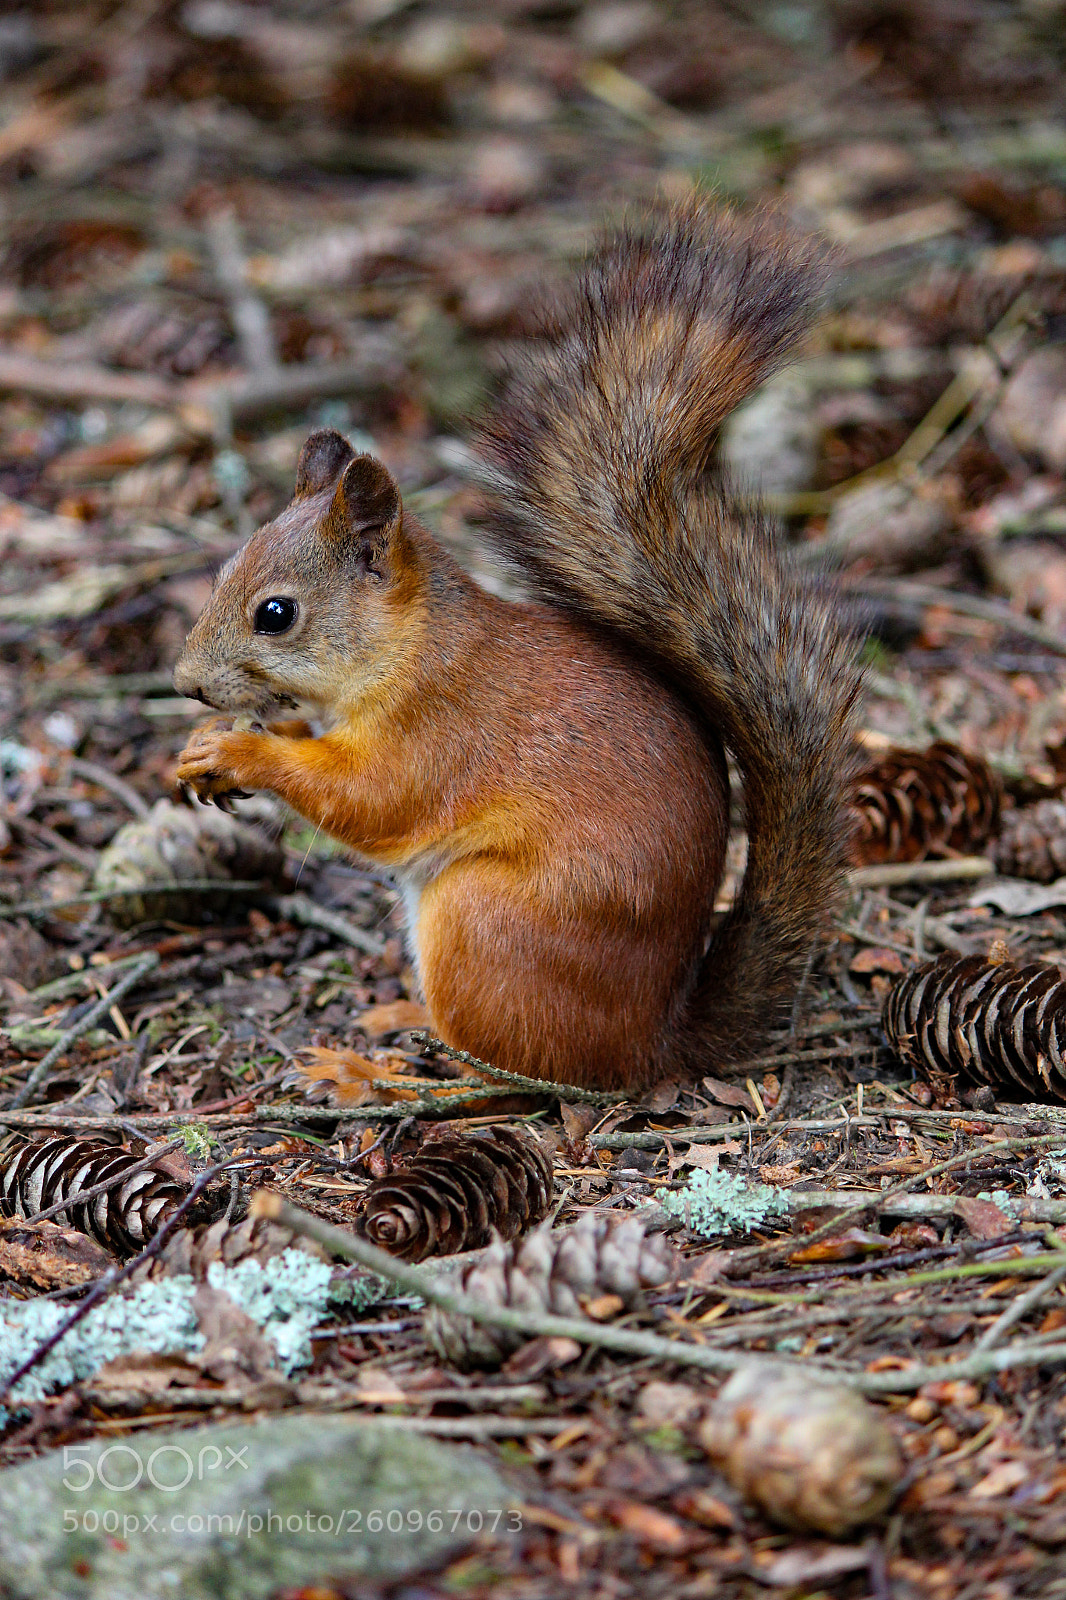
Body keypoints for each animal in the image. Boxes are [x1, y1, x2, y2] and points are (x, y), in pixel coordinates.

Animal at [173, 198, 860, 1096]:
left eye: (276, 614)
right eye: (223, 568)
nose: (185, 683)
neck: (409, 649)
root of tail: (656, 1043)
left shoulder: (437, 733)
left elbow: (369, 802)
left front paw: (243, 753)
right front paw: (206, 749)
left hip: (484, 922)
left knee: (506, 1073)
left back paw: (380, 1073)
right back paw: (395, 1019)